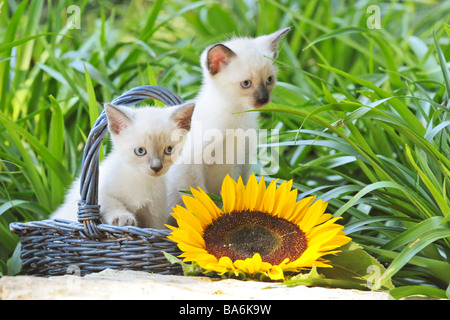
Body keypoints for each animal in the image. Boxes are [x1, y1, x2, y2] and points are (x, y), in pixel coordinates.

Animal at [51, 101, 194, 229]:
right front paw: (123, 218)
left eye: (169, 149)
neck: (141, 179)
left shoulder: (155, 214)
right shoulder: (98, 193)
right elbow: (110, 202)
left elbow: (155, 228)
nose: (156, 167)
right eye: (140, 151)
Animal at [167, 27, 290, 212]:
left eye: (269, 80)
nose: (263, 100)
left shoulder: (244, 161)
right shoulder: (191, 165)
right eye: (246, 84)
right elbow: (199, 197)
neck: (237, 114)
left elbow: (242, 189)